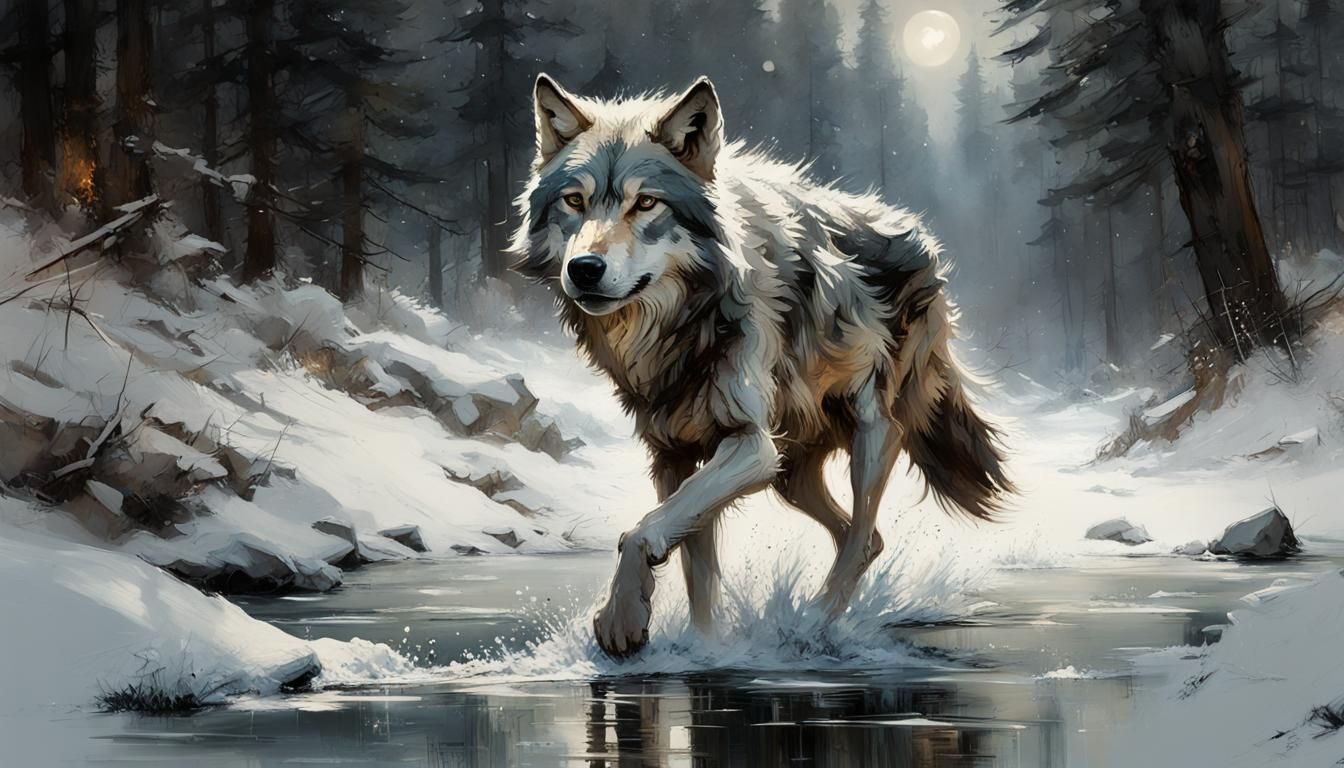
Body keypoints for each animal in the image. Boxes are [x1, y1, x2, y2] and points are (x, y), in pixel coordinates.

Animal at [511, 74, 1013, 658]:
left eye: (646, 203)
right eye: (575, 200)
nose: (585, 268)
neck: (679, 326)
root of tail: (921, 240)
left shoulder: (750, 444)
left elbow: (641, 531)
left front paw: (621, 620)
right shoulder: (672, 456)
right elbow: (696, 568)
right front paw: (704, 647)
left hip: (865, 435)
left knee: (862, 535)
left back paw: (815, 626)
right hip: (789, 472)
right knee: (864, 537)